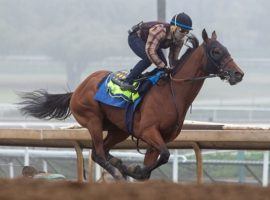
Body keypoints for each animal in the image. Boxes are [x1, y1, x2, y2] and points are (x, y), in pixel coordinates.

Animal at [18, 29, 243, 180]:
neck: (172, 94)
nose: (238, 74)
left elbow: (158, 161)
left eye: (226, 49)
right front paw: (135, 170)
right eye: (216, 51)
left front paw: (134, 170)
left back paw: (118, 165)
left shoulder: (160, 139)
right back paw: (118, 172)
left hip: (119, 129)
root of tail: (77, 89)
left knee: (102, 151)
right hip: (93, 120)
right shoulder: (148, 131)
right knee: (98, 153)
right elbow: (164, 156)